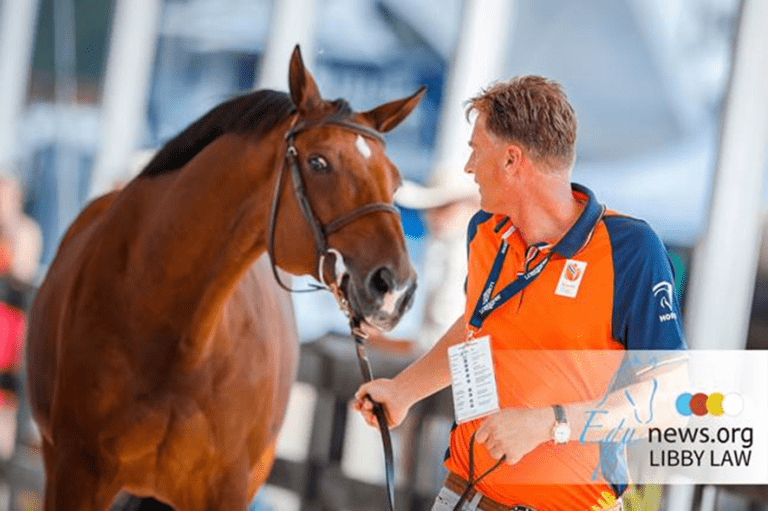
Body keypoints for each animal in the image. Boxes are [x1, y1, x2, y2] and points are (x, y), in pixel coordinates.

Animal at [26, 45, 423, 510]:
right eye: (318, 162)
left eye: (395, 181)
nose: (395, 287)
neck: (180, 341)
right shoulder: (76, 472)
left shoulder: (227, 490)